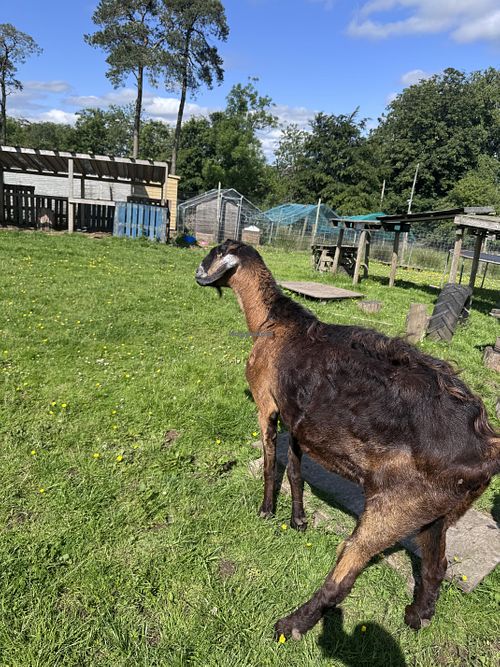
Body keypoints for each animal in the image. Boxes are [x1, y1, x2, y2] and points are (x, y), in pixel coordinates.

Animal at [195, 239, 500, 640]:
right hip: (439, 511)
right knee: (436, 567)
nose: (198, 273)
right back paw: (417, 616)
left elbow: (270, 463)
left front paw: (266, 510)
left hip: (395, 506)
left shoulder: (267, 406)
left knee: (346, 571)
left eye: (213, 253)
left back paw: (293, 624)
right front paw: (298, 520)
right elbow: (295, 471)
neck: (274, 323)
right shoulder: (298, 419)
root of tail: (487, 446)